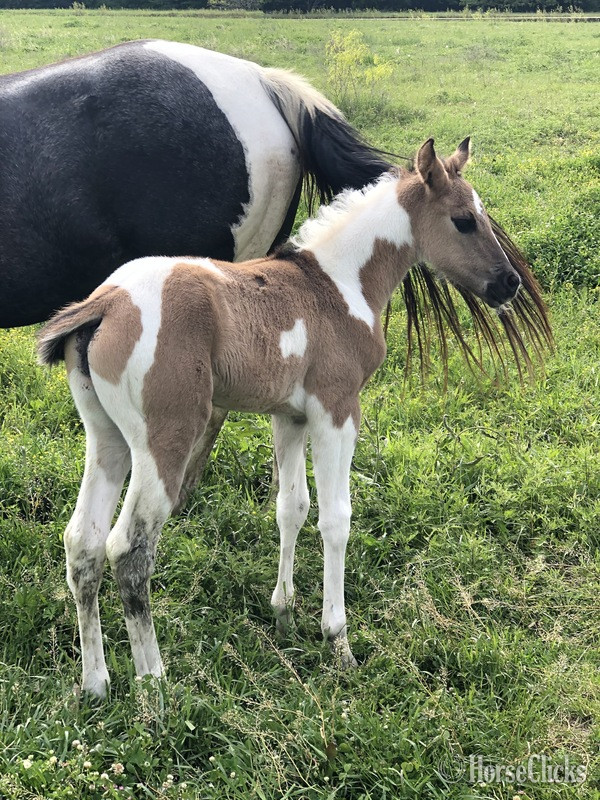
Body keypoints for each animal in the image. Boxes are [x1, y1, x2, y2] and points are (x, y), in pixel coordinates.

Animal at [38, 137, 549, 697]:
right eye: (463, 220)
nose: (509, 284)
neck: (338, 285)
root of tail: (106, 303)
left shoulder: (290, 418)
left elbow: (292, 507)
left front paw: (283, 613)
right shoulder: (337, 411)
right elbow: (335, 519)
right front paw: (338, 641)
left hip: (106, 438)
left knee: (82, 544)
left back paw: (95, 684)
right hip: (163, 440)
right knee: (128, 550)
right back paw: (156, 685)